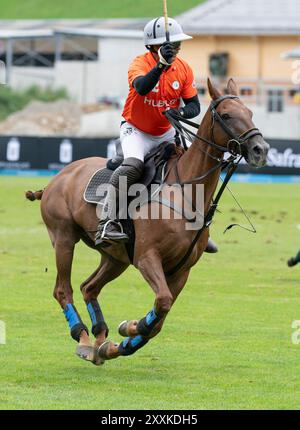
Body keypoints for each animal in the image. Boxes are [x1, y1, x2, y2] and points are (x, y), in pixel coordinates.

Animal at [27, 79, 268, 364]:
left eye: (250, 113)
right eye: (228, 115)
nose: (260, 150)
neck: (186, 190)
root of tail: (58, 177)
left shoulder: (182, 270)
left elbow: (159, 320)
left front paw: (119, 343)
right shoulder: (147, 257)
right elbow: (161, 303)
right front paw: (130, 327)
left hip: (116, 257)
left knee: (89, 287)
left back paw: (99, 341)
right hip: (64, 238)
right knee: (63, 289)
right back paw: (84, 339)